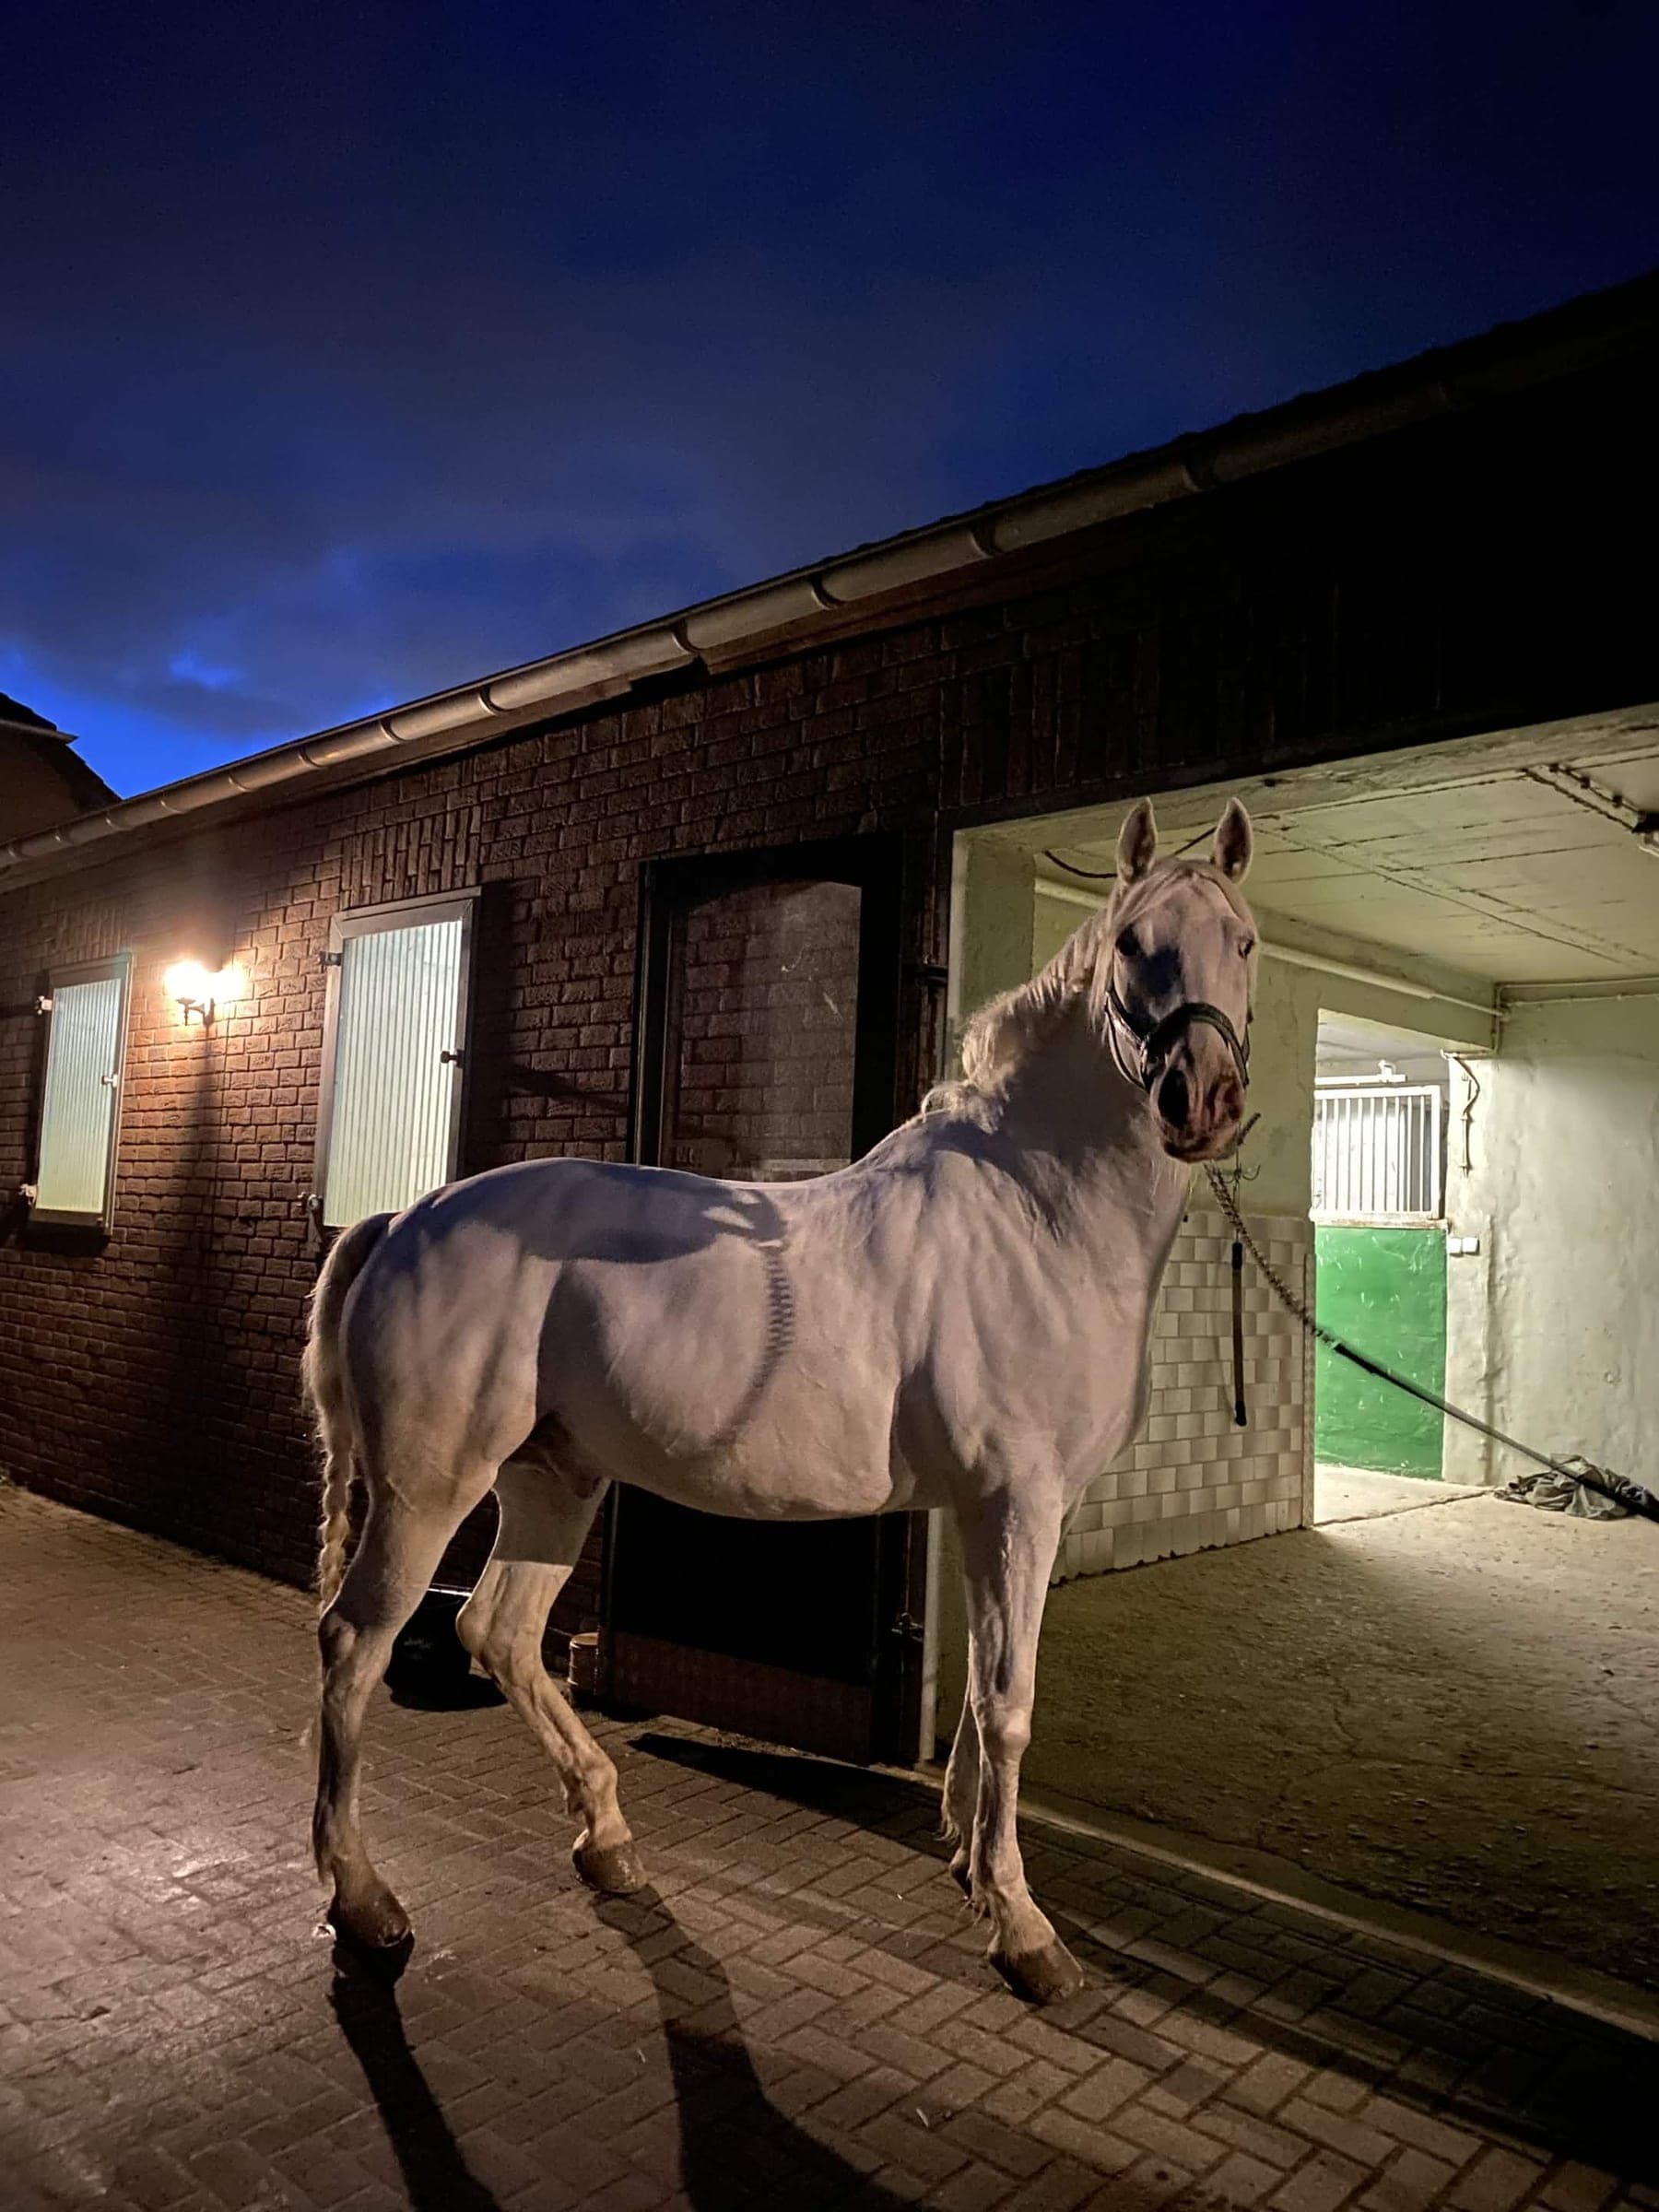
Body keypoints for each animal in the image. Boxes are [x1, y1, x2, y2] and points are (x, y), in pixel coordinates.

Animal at [307, 795, 1257, 2004]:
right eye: (1135, 943)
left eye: (1244, 943)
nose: (1204, 1100)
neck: (1033, 1220)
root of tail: (406, 1217)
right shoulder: (1019, 1503)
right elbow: (1009, 1705)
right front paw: (1024, 1930)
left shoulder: (1000, 1512)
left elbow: (976, 1693)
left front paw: (969, 1866)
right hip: (429, 1490)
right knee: (357, 1644)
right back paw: (366, 1903)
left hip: (555, 1479)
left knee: (500, 1632)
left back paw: (609, 1842)